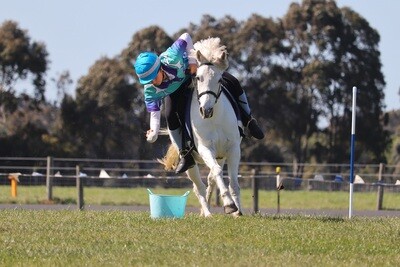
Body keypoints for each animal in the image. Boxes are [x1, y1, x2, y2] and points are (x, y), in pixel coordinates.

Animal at [161, 38, 242, 218]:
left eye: (219, 80)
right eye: (198, 78)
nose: (206, 110)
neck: (215, 119)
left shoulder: (233, 149)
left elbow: (233, 181)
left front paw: (238, 211)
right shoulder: (205, 149)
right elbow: (217, 173)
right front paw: (229, 205)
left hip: (220, 156)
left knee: (210, 180)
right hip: (191, 164)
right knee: (199, 187)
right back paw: (207, 213)